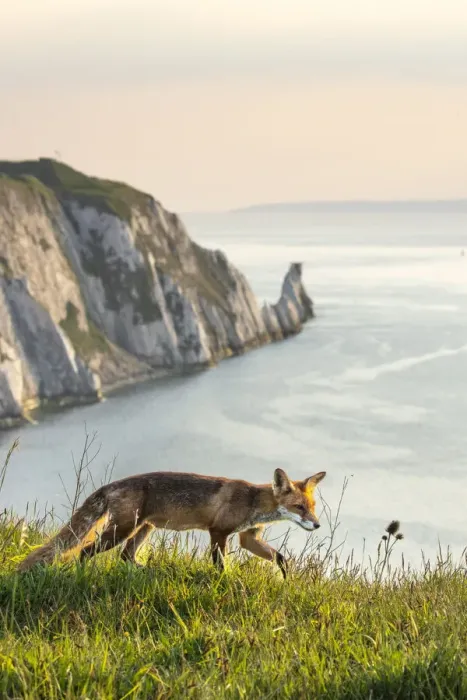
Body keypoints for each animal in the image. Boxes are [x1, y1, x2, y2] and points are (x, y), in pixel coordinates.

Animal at [17, 467, 326, 578]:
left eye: (312, 508)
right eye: (299, 508)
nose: (317, 526)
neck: (253, 503)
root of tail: (112, 485)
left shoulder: (247, 537)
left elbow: (281, 558)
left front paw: (286, 579)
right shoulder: (219, 532)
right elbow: (220, 565)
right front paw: (225, 583)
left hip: (145, 528)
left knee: (126, 557)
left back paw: (148, 572)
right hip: (121, 531)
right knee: (84, 551)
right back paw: (83, 575)